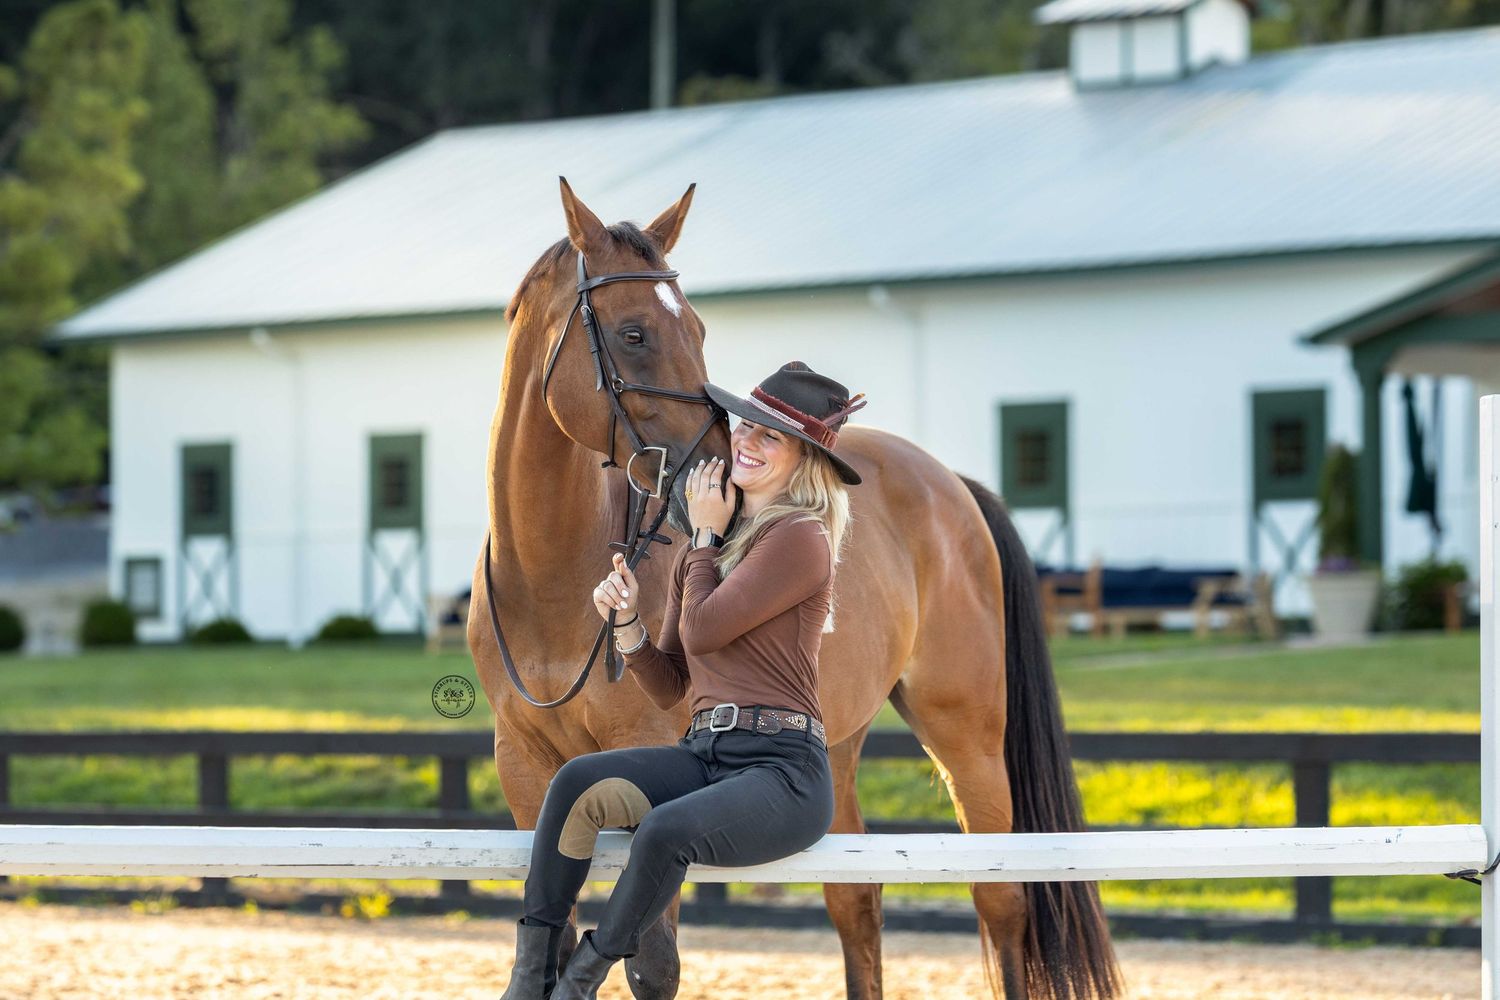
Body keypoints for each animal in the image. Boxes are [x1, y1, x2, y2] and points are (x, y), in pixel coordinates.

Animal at [468, 178, 1121, 1000]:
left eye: (699, 328)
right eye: (634, 333)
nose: (720, 470)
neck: (549, 579)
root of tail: (950, 483)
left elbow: (653, 964)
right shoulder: (525, 773)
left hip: (968, 735)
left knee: (1000, 902)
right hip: (837, 742)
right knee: (856, 903)